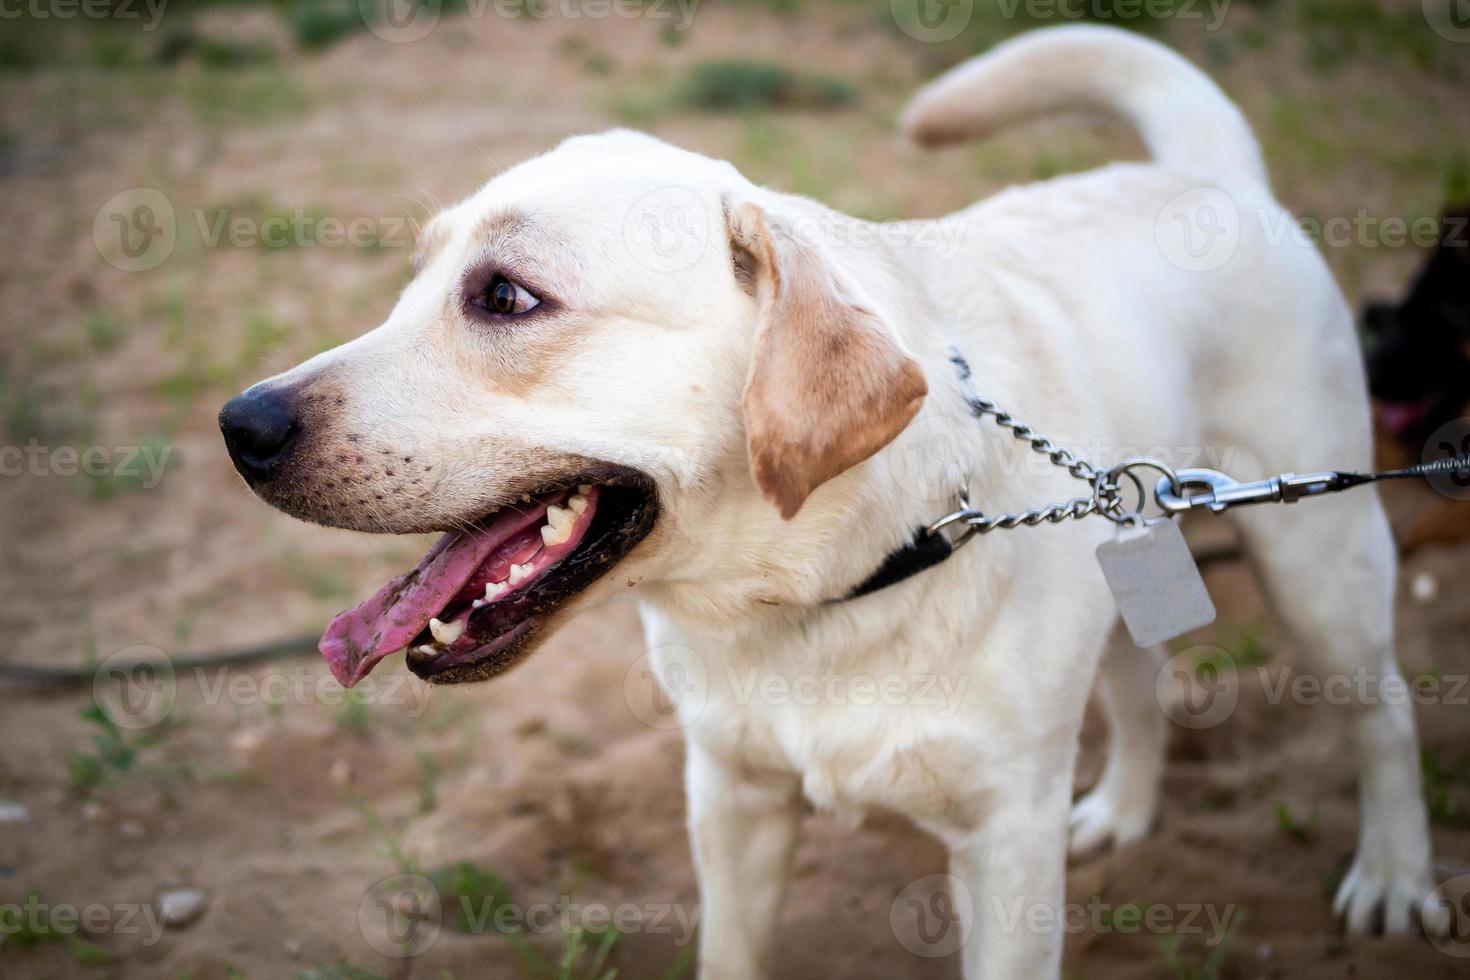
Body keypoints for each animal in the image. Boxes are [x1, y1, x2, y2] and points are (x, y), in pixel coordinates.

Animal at [223, 24, 1440, 980]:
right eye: (414, 280)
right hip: (1126, 541)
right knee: (1142, 682)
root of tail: (1210, 175)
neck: (821, 592)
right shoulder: (731, 800)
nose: (242, 426)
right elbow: (731, 952)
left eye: (507, 297)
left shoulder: (1003, 844)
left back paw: (1395, 875)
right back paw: (1124, 809)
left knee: (1381, 712)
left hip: (1322, 555)